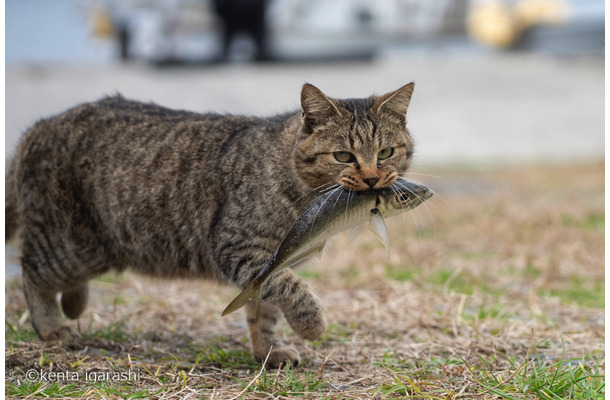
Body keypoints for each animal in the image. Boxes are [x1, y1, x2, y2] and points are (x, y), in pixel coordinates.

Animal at [5, 82, 414, 368]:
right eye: (343, 156)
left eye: (386, 152)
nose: (373, 179)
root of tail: (36, 128)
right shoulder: (239, 248)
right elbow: (290, 289)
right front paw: (311, 323)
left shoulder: (271, 260)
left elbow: (265, 309)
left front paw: (267, 351)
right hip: (72, 245)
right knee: (32, 272)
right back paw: (52, 326)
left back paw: (74, 304)